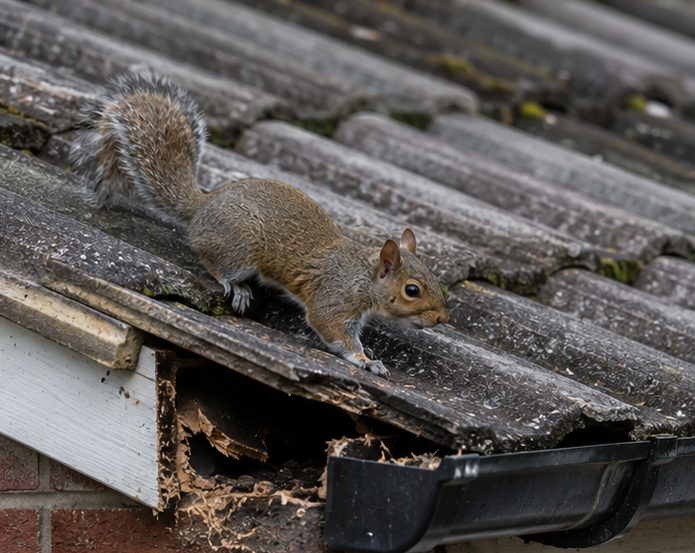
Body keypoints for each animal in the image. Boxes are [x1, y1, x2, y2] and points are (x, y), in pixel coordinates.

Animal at [70, 73, 449, 378]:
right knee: (211, 259)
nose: (442, 319)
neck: (363, 276)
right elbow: (330, 329)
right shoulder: (333, 299)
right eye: (412, 290)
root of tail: (203, 206)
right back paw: (234, 286)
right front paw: (367, 361)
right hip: (242, 245)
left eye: (434, 278)